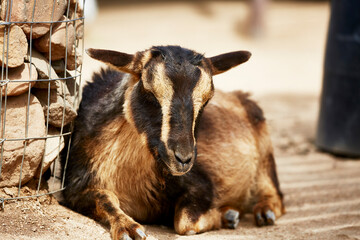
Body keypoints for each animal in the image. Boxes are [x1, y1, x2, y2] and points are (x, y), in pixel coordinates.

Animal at [62, 45, 284, 240]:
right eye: (149, 91)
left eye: (206, 99)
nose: (183, 158)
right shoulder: (76, 188)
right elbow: (104, 199)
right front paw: (128, 228)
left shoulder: (201, 183)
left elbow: (186, 222)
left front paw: (225, 216)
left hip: (265, 151)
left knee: (276, 195)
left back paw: (265, 212)